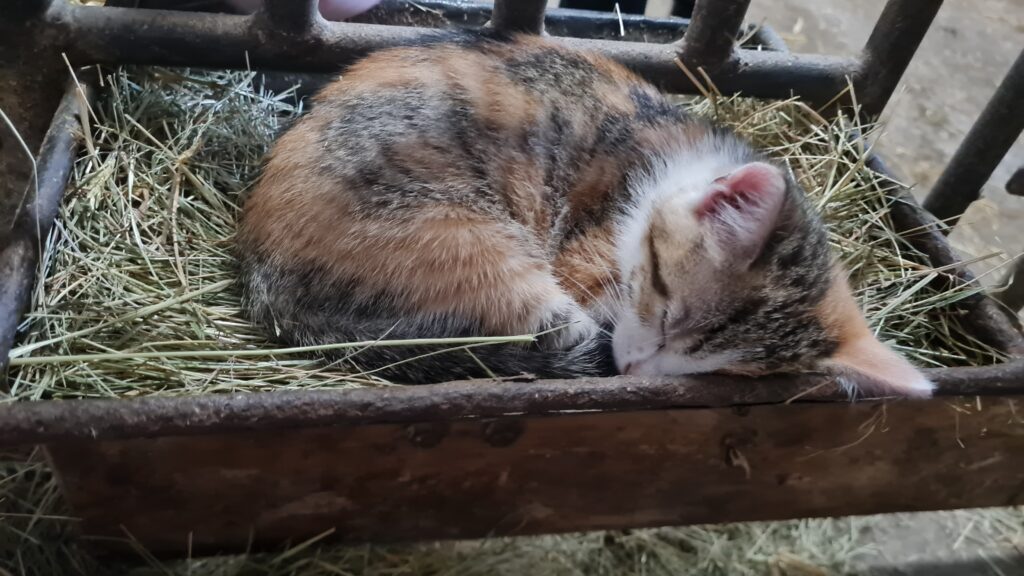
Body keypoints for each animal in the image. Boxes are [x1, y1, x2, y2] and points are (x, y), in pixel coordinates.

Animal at [235, 33, 933, 397]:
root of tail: (267, 276)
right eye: (668, 311)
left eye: (720, 370)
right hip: (479, 251)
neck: (672, 167)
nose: (635, 372)